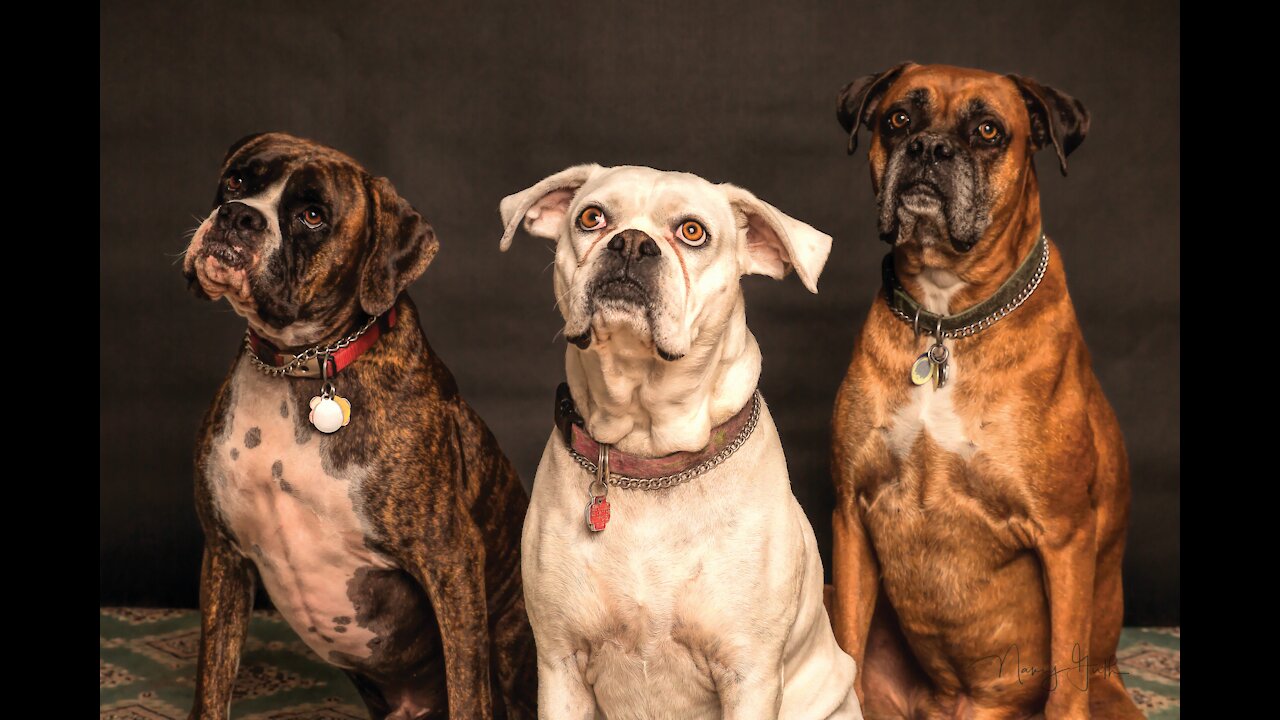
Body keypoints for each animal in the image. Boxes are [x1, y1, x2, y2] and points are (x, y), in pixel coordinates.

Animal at [180, 131, 535, 712]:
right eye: (236, 180)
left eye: (313, 215)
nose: (238, 216)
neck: (299, 365)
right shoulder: (224, 557)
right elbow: (212, 687)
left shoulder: (450, 560)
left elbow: (468, 692)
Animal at [499, 163, 860, 717]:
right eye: (591, 217)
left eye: (693, 232)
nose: (630, 243)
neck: (647, 450)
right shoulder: (560, 665)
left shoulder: (749, 674)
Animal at [824, 64, 1146, 712]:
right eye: (899, 119)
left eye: (988, 130)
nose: (929, 148)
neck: (946, 317)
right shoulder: (850, 514)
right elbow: (845, 644)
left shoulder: (1065, 537)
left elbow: (1064, 684)